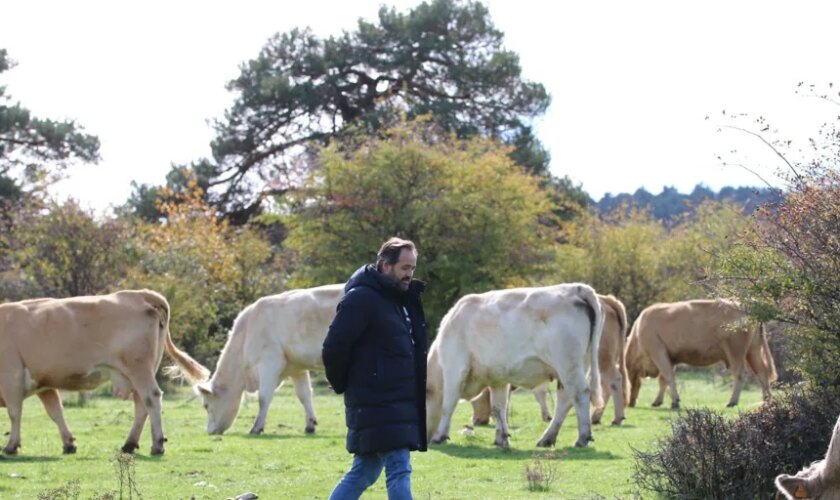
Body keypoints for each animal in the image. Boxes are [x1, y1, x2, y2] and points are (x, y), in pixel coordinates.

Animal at [0, 290, 209, 458]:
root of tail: (139, 294)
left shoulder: (11, 377)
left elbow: (15, 412)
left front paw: (11, 446)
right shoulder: (44, 383)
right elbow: (56, 411)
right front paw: (69, 444)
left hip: (138, 368)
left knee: (152, 398)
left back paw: (157, 445)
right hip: (140, 371)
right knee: (142, 404)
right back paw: (129, 444)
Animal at [194, 286, 344, 434]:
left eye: (206, 405)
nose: (209, 431)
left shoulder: (269, 363)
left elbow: (264, 398)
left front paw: (256, 428)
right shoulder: (297, 368)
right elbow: (304, 395)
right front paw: (310, 425)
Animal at [426, 282, 604, 450]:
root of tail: (577, 288)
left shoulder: (454, 368)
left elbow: (449, 403)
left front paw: (440, 436)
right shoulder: (497, 378)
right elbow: (498, 407)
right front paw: (501, 438)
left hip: (568, 364)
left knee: (580, 393)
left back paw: (582, 438)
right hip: (576, 366)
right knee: (565, 399)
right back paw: (547, 439)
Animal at [472, 292, 632, 426]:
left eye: (474, 401)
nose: (475, 421)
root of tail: (607, 299)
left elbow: (537, 393)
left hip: (601, 359)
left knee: (614, 381)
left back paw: (616, 418)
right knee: (606, 386)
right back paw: (596, 417)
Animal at [628, 298, 776, 408]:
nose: (630, 403)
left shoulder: (658, 352)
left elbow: (668, 377)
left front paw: (675, 402)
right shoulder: (671, 358)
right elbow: (663, 380)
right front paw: (658, 401)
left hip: (735, 351)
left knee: (740, 373)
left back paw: (732, 401)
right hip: (753, 350)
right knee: (762, 372)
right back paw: (766, 401)